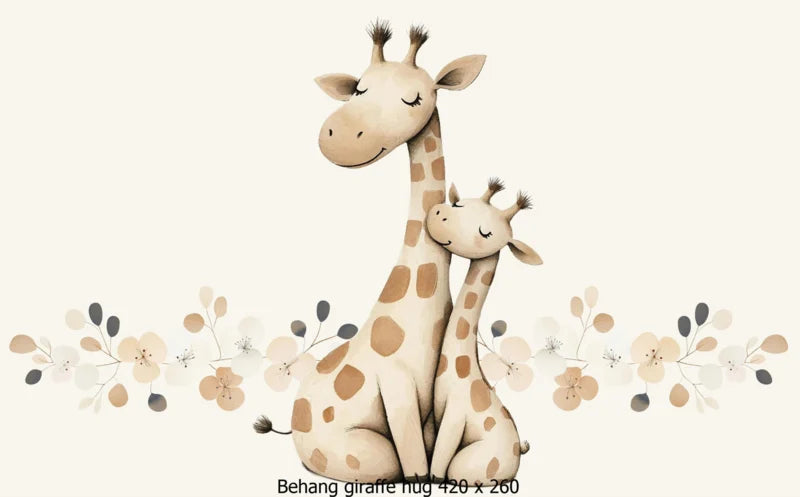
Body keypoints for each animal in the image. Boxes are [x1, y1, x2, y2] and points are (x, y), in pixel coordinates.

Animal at [260, 21, 486, 483]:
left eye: (414, 97)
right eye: (358, 89)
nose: (338, 137)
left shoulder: (423, 409)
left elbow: (424, 462)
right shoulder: (397, 391)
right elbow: (415, 469)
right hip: (366, 456)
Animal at [426, 179, 542, 484]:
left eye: (485, 233)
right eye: (457, 204)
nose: (439, 215)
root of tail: (517, 453)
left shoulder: (454, 417)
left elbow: (438, 466)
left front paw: (430, 480)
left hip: (468, 465)